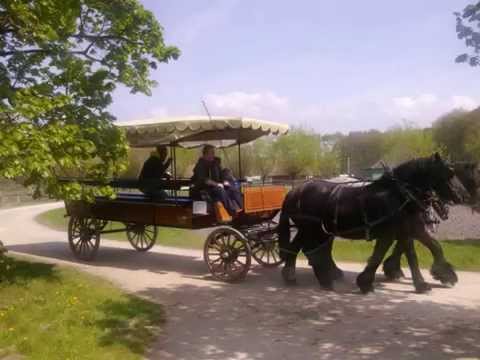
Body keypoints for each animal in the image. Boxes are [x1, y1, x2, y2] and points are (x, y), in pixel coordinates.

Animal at [278, 153, 468, 294]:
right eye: (449, 173)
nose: (463, 196)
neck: (399, 195)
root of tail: (294, 191)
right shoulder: (400, 231)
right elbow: (408, 256)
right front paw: (421, 284)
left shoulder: (405, 231)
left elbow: (431, 248)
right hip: (312, 229)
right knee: (311, 251)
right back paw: (320, 279)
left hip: (313, 230)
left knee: (301, 249)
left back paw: (299, 276)